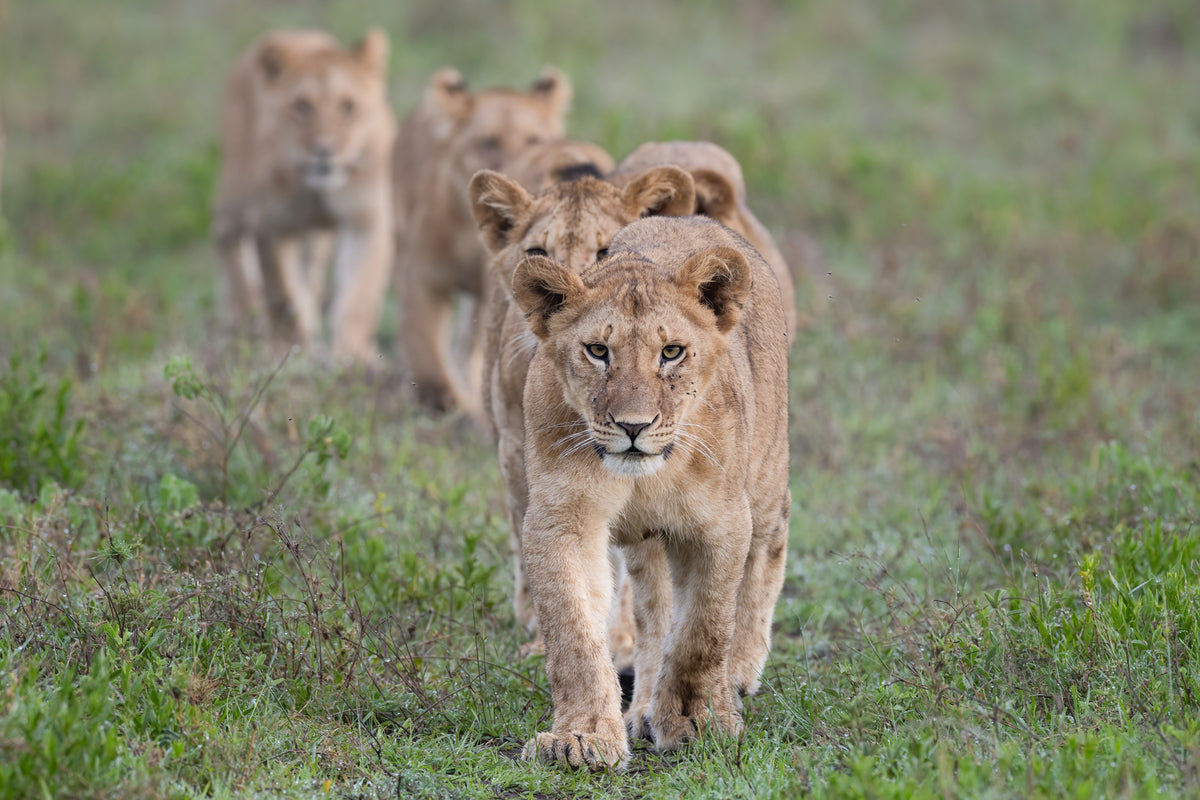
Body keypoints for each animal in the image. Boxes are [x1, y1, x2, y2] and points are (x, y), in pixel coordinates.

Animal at [211, 28, 396, 364]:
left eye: (348, 106)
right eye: (302, 106)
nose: (324, 150)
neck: (317, 190)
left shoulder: (368, 221)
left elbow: (359, 296)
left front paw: (353, 356)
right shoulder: (273, 224)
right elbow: (284, 293)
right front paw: (290, 350)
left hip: (316, 239)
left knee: (310, 276)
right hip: (236, 191)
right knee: (227, 240)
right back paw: (242, 320)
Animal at [393, 67, 571, 416]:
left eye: (533, 140)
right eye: (488, 142)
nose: (518, 173)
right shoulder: (423, 275)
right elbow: (423, 341)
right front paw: (442, 397)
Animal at [511, 215, 791, 770]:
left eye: (671, 352)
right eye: (598, 351)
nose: (633, 426)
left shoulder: (720, 523)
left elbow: (703, 630)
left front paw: (697, 724)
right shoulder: (561, 519)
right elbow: (574, 633)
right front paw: (582, 738)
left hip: (768, 479)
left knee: (769, 549)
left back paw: (739, 674)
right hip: (645, 544)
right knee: (653, 611)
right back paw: (641, 709)